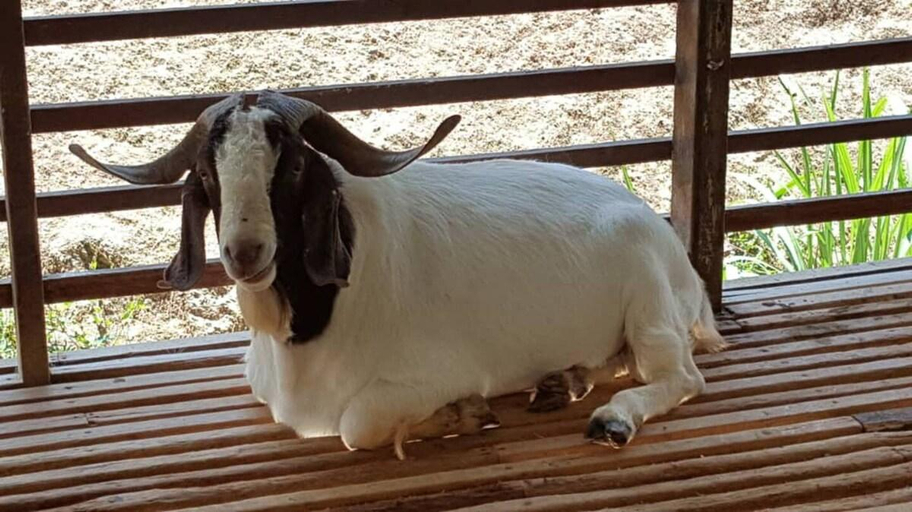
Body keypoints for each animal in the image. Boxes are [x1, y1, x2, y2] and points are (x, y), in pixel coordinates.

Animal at [69, 91, 725, 459]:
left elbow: (357, 425)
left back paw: (611, 417)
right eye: (208, 174)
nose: (245, 252)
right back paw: (564, 380)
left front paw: (463, 415)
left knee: (680, 378)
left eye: (294, 166)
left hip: (649, 303)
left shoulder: (437, 372)